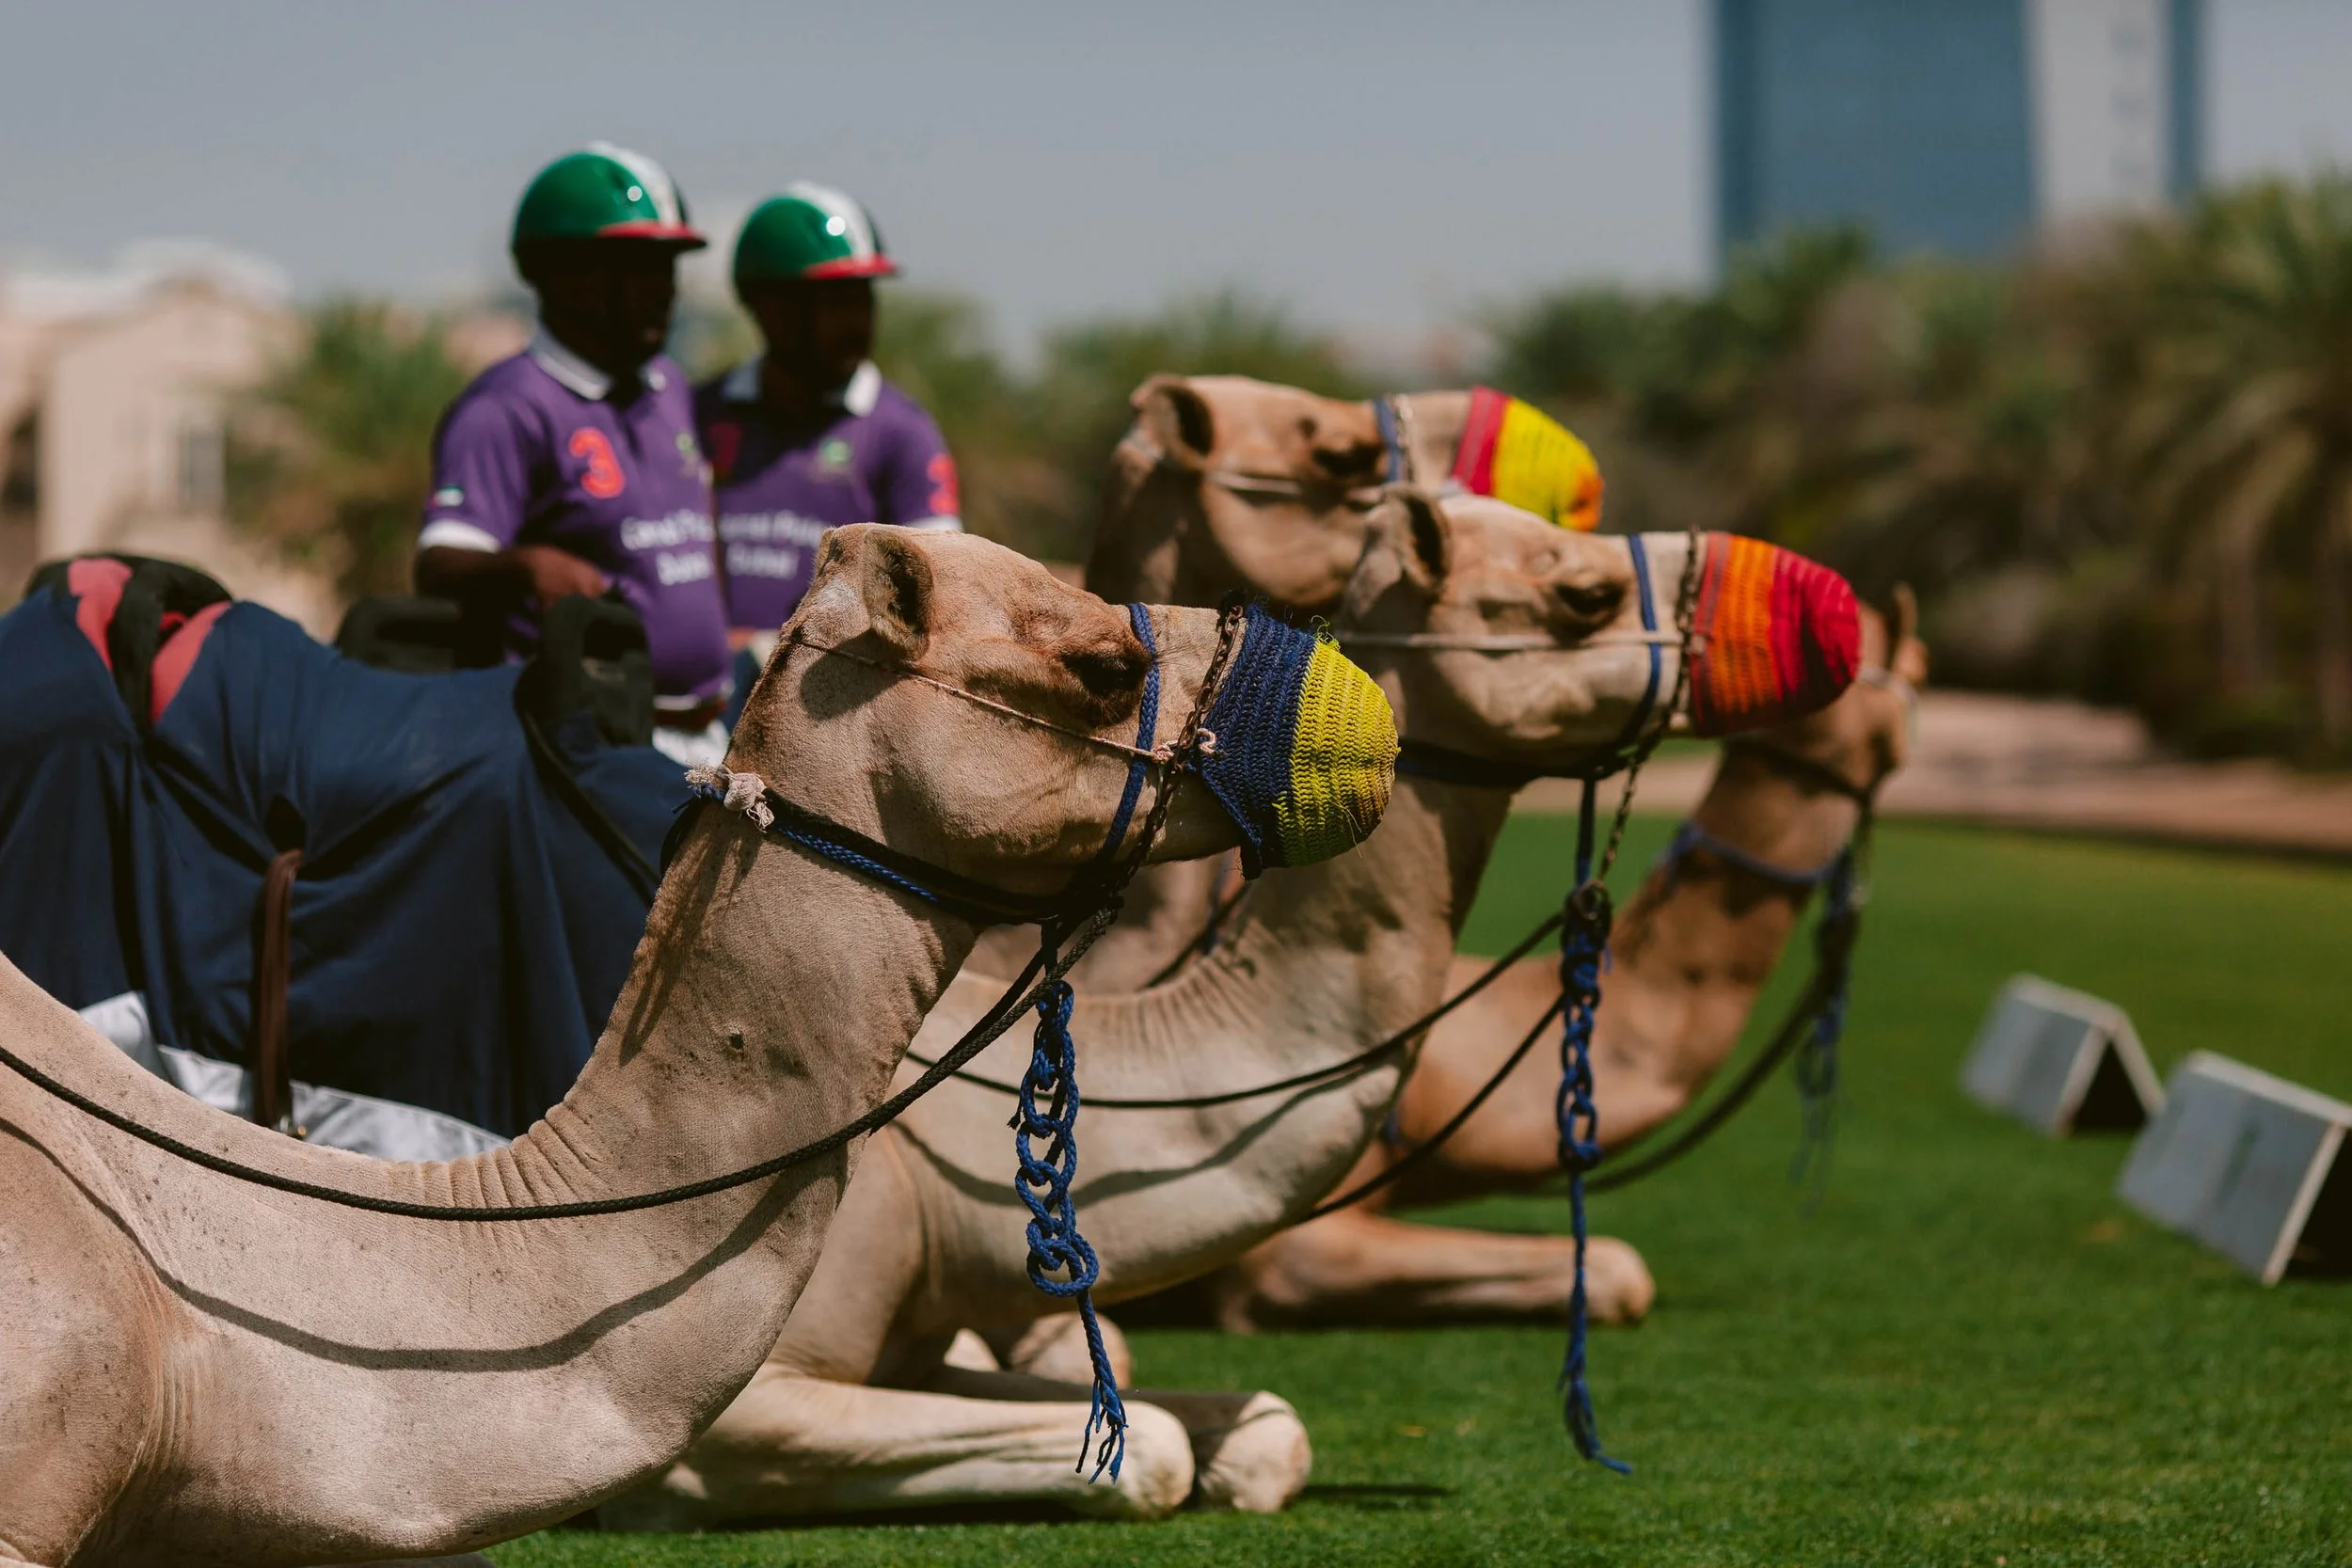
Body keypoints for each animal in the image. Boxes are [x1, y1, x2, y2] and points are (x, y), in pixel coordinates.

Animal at [607, 490, 1861, 1529]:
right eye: (1581, 592)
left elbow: (1263, 1426)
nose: (1830, 607)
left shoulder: (918, 1338)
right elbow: (1154, 1444)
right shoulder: (736, 1403)